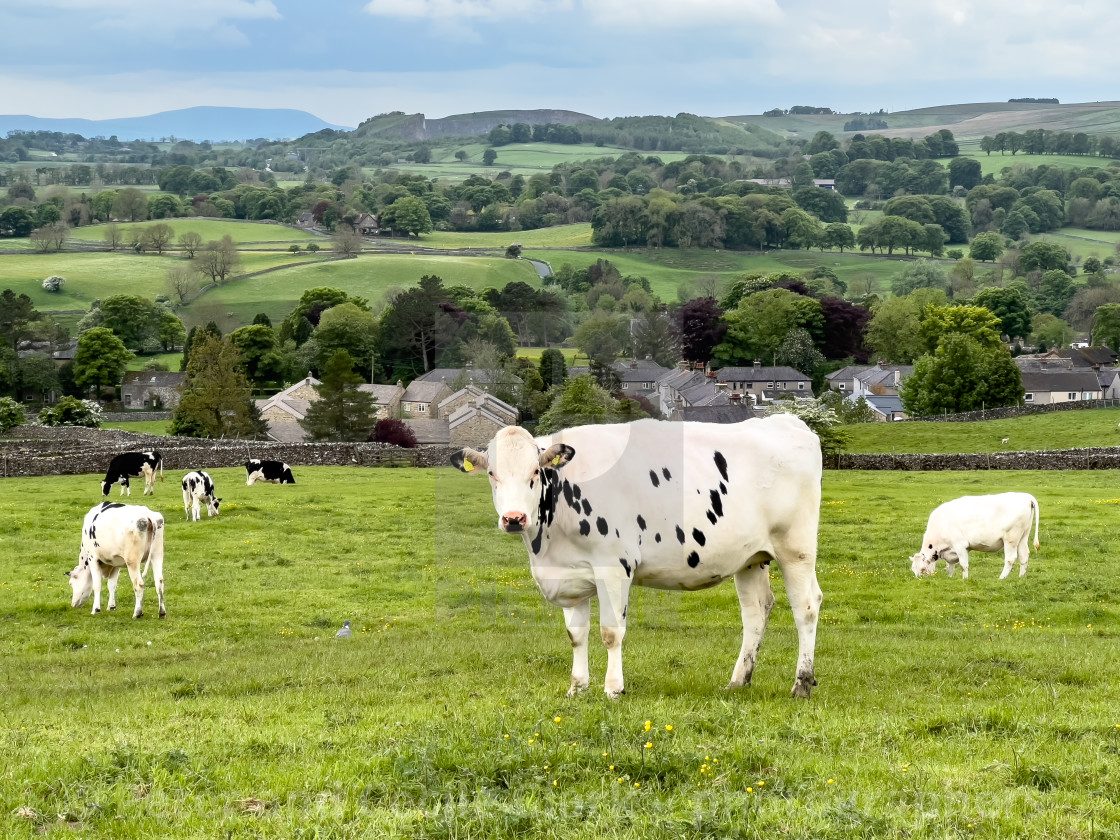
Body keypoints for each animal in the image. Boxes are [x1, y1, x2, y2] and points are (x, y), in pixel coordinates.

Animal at [450, 416, 828, 703]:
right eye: (492, 474)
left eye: (534, 472)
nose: (514, 518)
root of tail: (787, 421)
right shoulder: (570, 574)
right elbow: (576, 634)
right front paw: (577, 687)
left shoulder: (614, 566)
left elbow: (611, 632)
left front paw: (613, 688)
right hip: (750, 556)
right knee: (756, 610)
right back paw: (738, 680)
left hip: (795, 547)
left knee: (807, 606)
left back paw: (802, 683)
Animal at [909, 490, 1039, 582]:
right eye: (913, 569)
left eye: (923, 569)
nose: (921, 580)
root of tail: (1026, 496)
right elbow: (950, 566)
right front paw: (950, 578)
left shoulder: (960, 545)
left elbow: (963, 565)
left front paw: (965, 579)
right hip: (1023, 537)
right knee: (1024, 556)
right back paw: (1021, 577)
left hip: (1011, 538)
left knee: (1010, 558)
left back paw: (1001, 578)